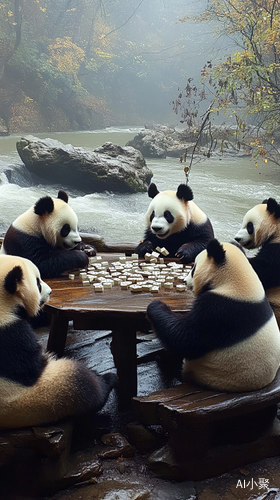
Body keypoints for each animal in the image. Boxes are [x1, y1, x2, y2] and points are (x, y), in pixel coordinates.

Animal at [0, 256, 117, 428]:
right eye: (38, 283)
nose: (50, 292)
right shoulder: (10, 335)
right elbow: (30, 367)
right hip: (44, 398)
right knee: (83, 384)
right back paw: (106, 381)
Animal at [147, 240, 280, 392]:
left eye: (194, 268)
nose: (185, 281)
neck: (236, 281)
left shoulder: (221, 311)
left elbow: (188, 337)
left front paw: (155, 305)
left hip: (207, 374)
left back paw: (163, 360)